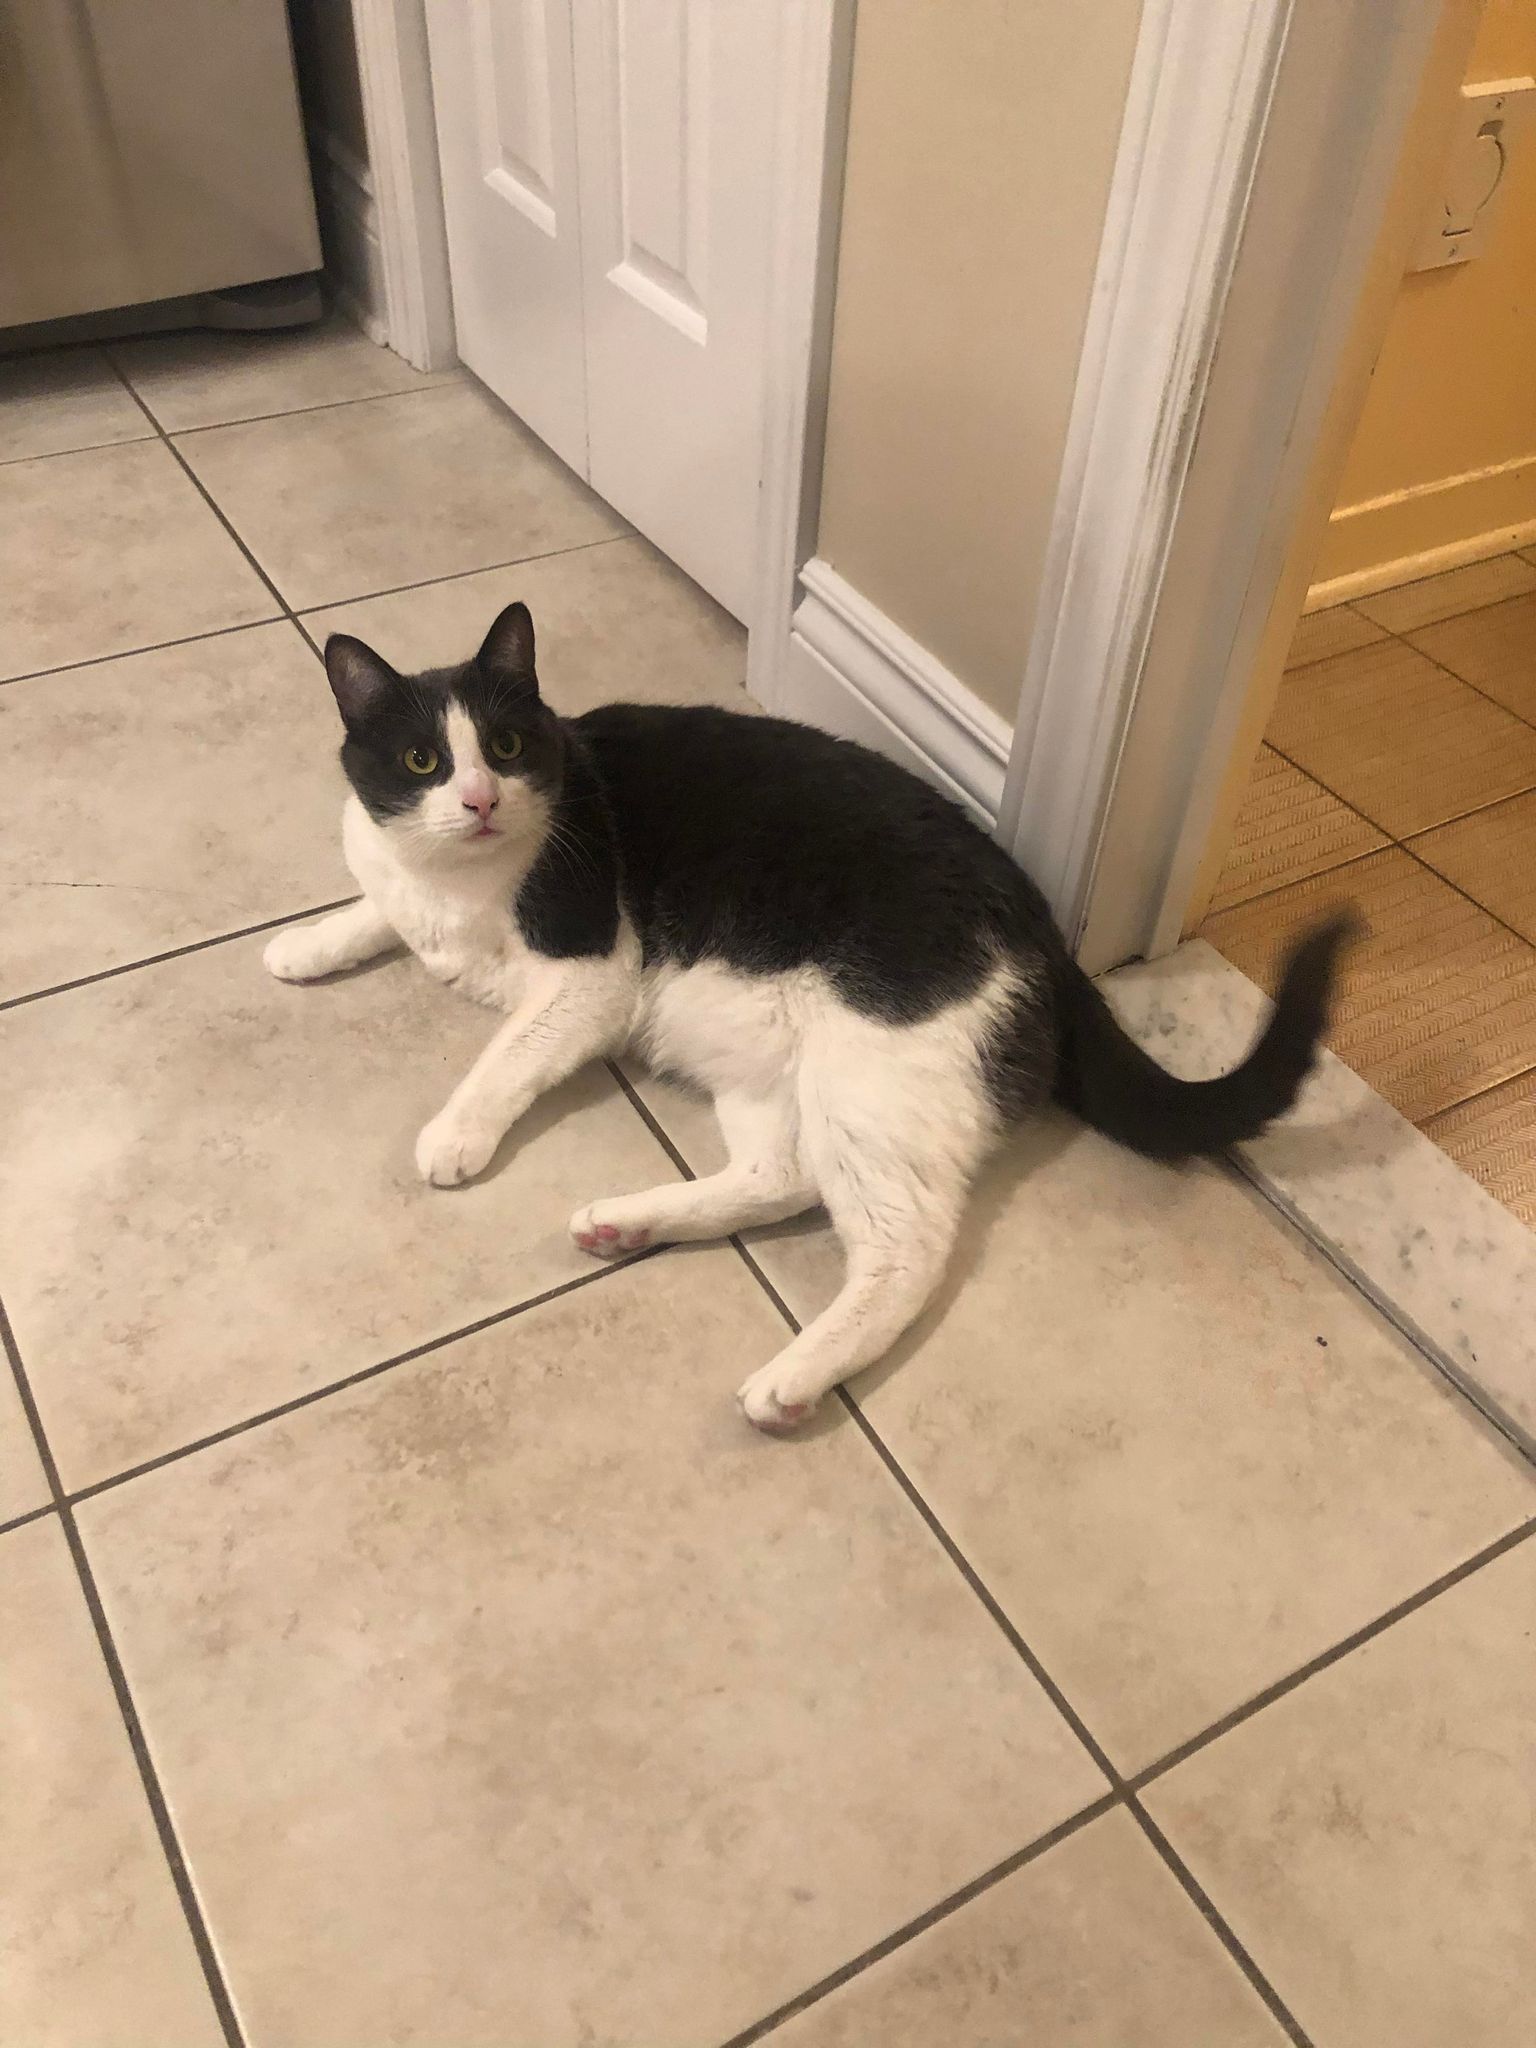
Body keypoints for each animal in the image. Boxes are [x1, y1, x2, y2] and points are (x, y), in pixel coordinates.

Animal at [266, 601, 1353, 1431]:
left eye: (503, 745)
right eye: (418, 760)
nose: (482, 800)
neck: (460, 883)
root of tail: (1044, 928)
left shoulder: (590, 976)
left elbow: (506, 1052)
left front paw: (454, 1135)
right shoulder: (410, 888)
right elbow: (374, 905)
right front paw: (304, 945)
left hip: (870, 1072)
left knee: (903, 1248)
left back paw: (792, 1375)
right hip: (748, 1049)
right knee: (780, 1177)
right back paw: (627, 1221)